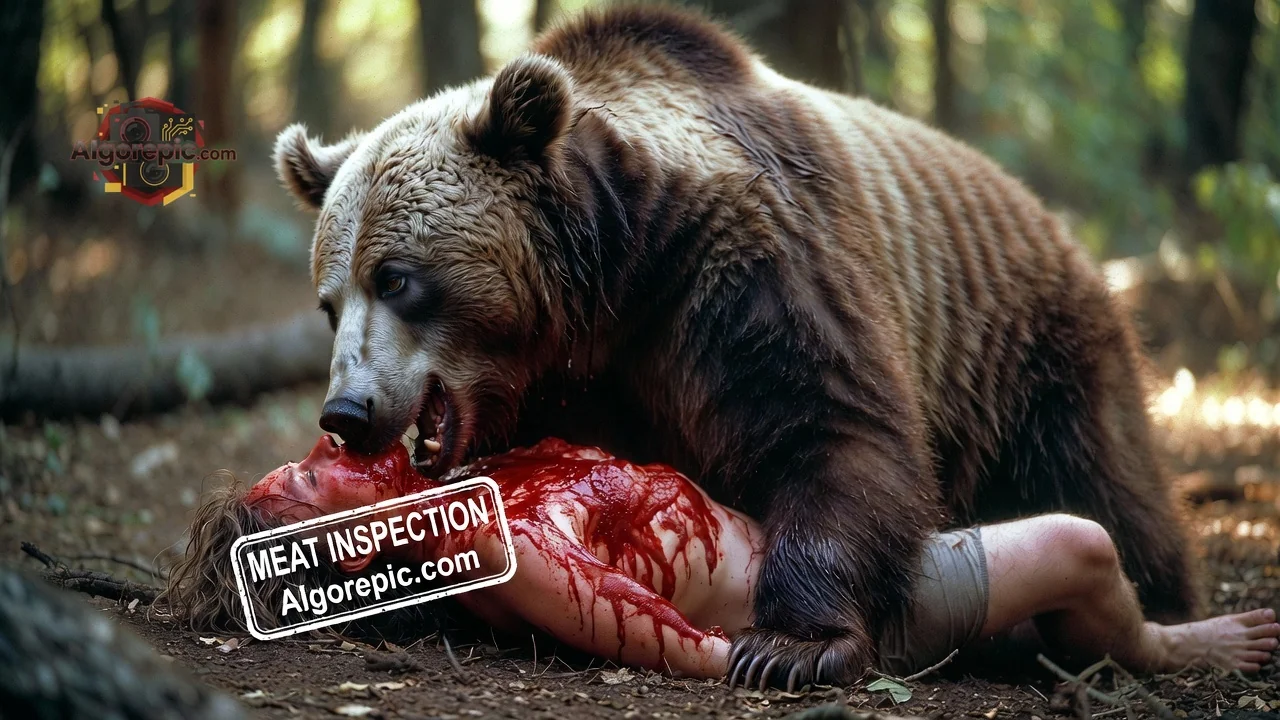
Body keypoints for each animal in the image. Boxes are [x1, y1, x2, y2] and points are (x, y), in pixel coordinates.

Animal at [273, 6, 1198, 687]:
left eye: (397, 278)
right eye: (328, 301)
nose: (347, 410)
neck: (610, 278)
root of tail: (1053, 219)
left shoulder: (746, 273)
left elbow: (831, 423)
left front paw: (790, 645)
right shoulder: (575, 376)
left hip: (1026, 351)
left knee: (1100, 479)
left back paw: (1157, 595)